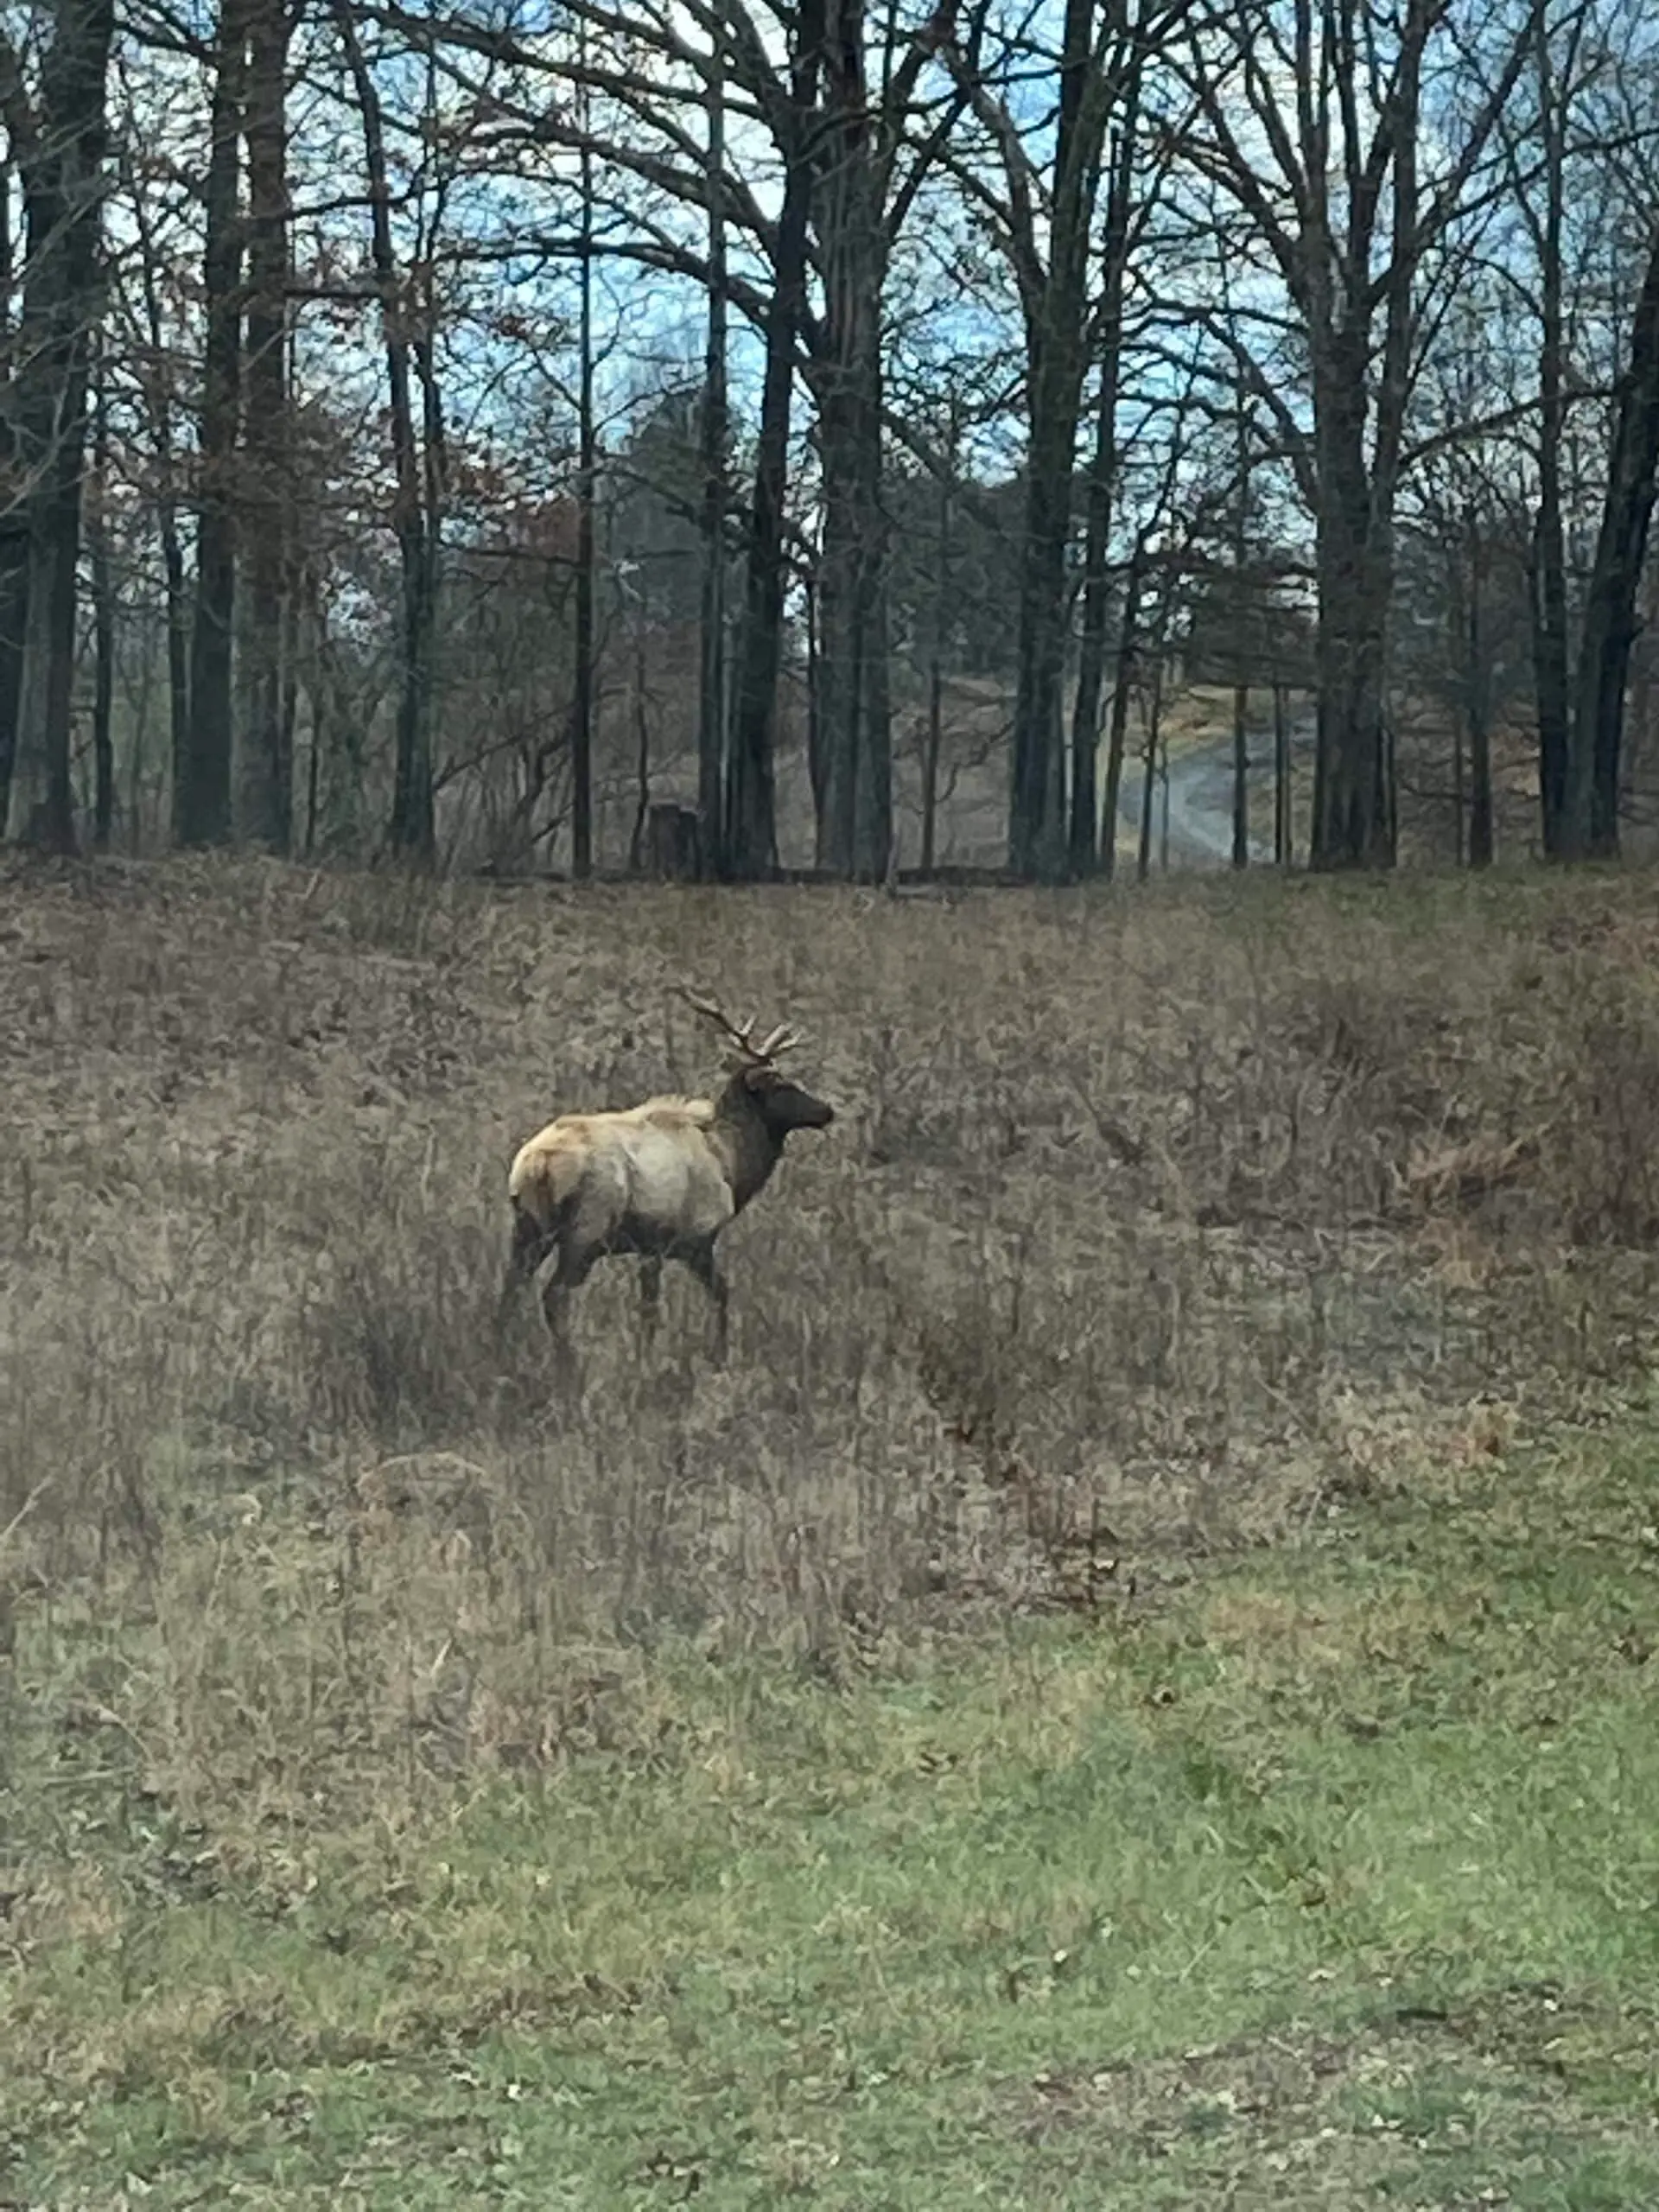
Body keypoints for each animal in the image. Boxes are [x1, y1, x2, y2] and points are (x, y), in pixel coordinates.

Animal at [498, 987, 835, 1372]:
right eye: (780, 1085)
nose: (826, 1110)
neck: (731, 1163)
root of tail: (537, 1164)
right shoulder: (685, 1239)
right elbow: (709, 1295)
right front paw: (710, 1357)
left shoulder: (651, 1248)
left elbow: (653, 1306)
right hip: (585, 1230)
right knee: (554, 1294)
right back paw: (568, 1365)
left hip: (528, 1226)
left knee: (510, 1289)